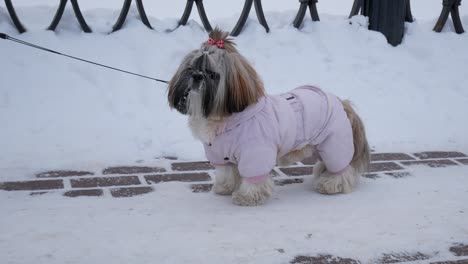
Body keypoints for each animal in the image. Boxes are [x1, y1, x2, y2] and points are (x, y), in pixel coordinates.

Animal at [168, 28, 370, 206]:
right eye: (190, 68)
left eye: (212, 74)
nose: (196, 76)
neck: (227, 119)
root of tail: (341, 102)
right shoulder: (221, 155)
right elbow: (227, 172)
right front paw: (225, 187)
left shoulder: (255, 152)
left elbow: (254, 178)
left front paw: (247, 197)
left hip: (334, 142)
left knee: (342, 168)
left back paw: (331, 183)